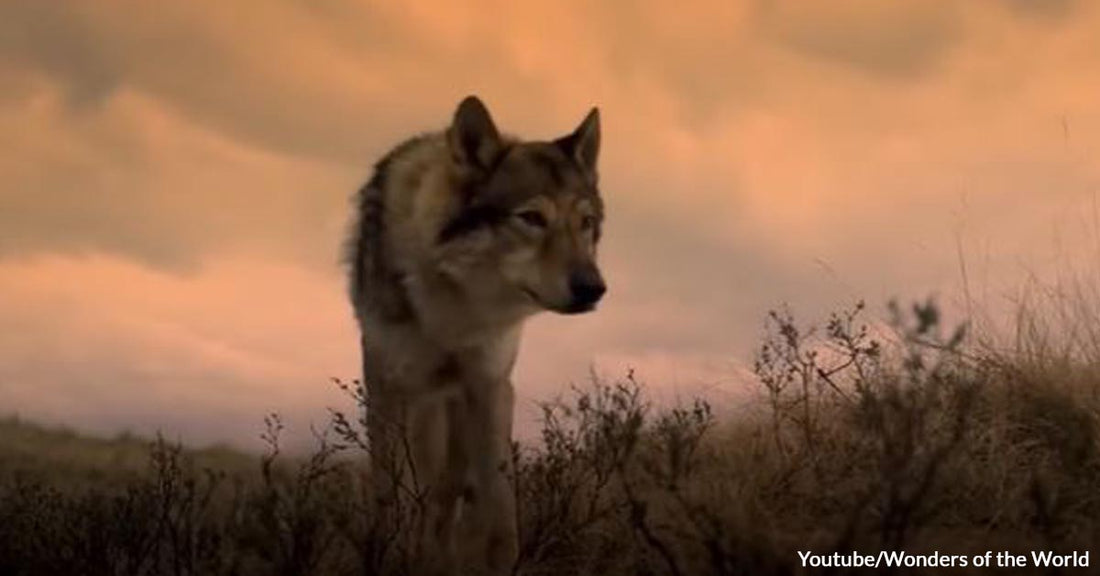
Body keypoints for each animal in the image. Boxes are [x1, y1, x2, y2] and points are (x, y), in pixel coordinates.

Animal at [346, 95, 606, 574]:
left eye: (585, 222)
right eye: (532, 218)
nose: (593, 288)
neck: (454, 303)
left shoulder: (488, 384)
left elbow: (499, 511)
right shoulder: (387, 386)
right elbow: (389, 496)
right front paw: (389, 557)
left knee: (445, 497)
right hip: (422, 406)